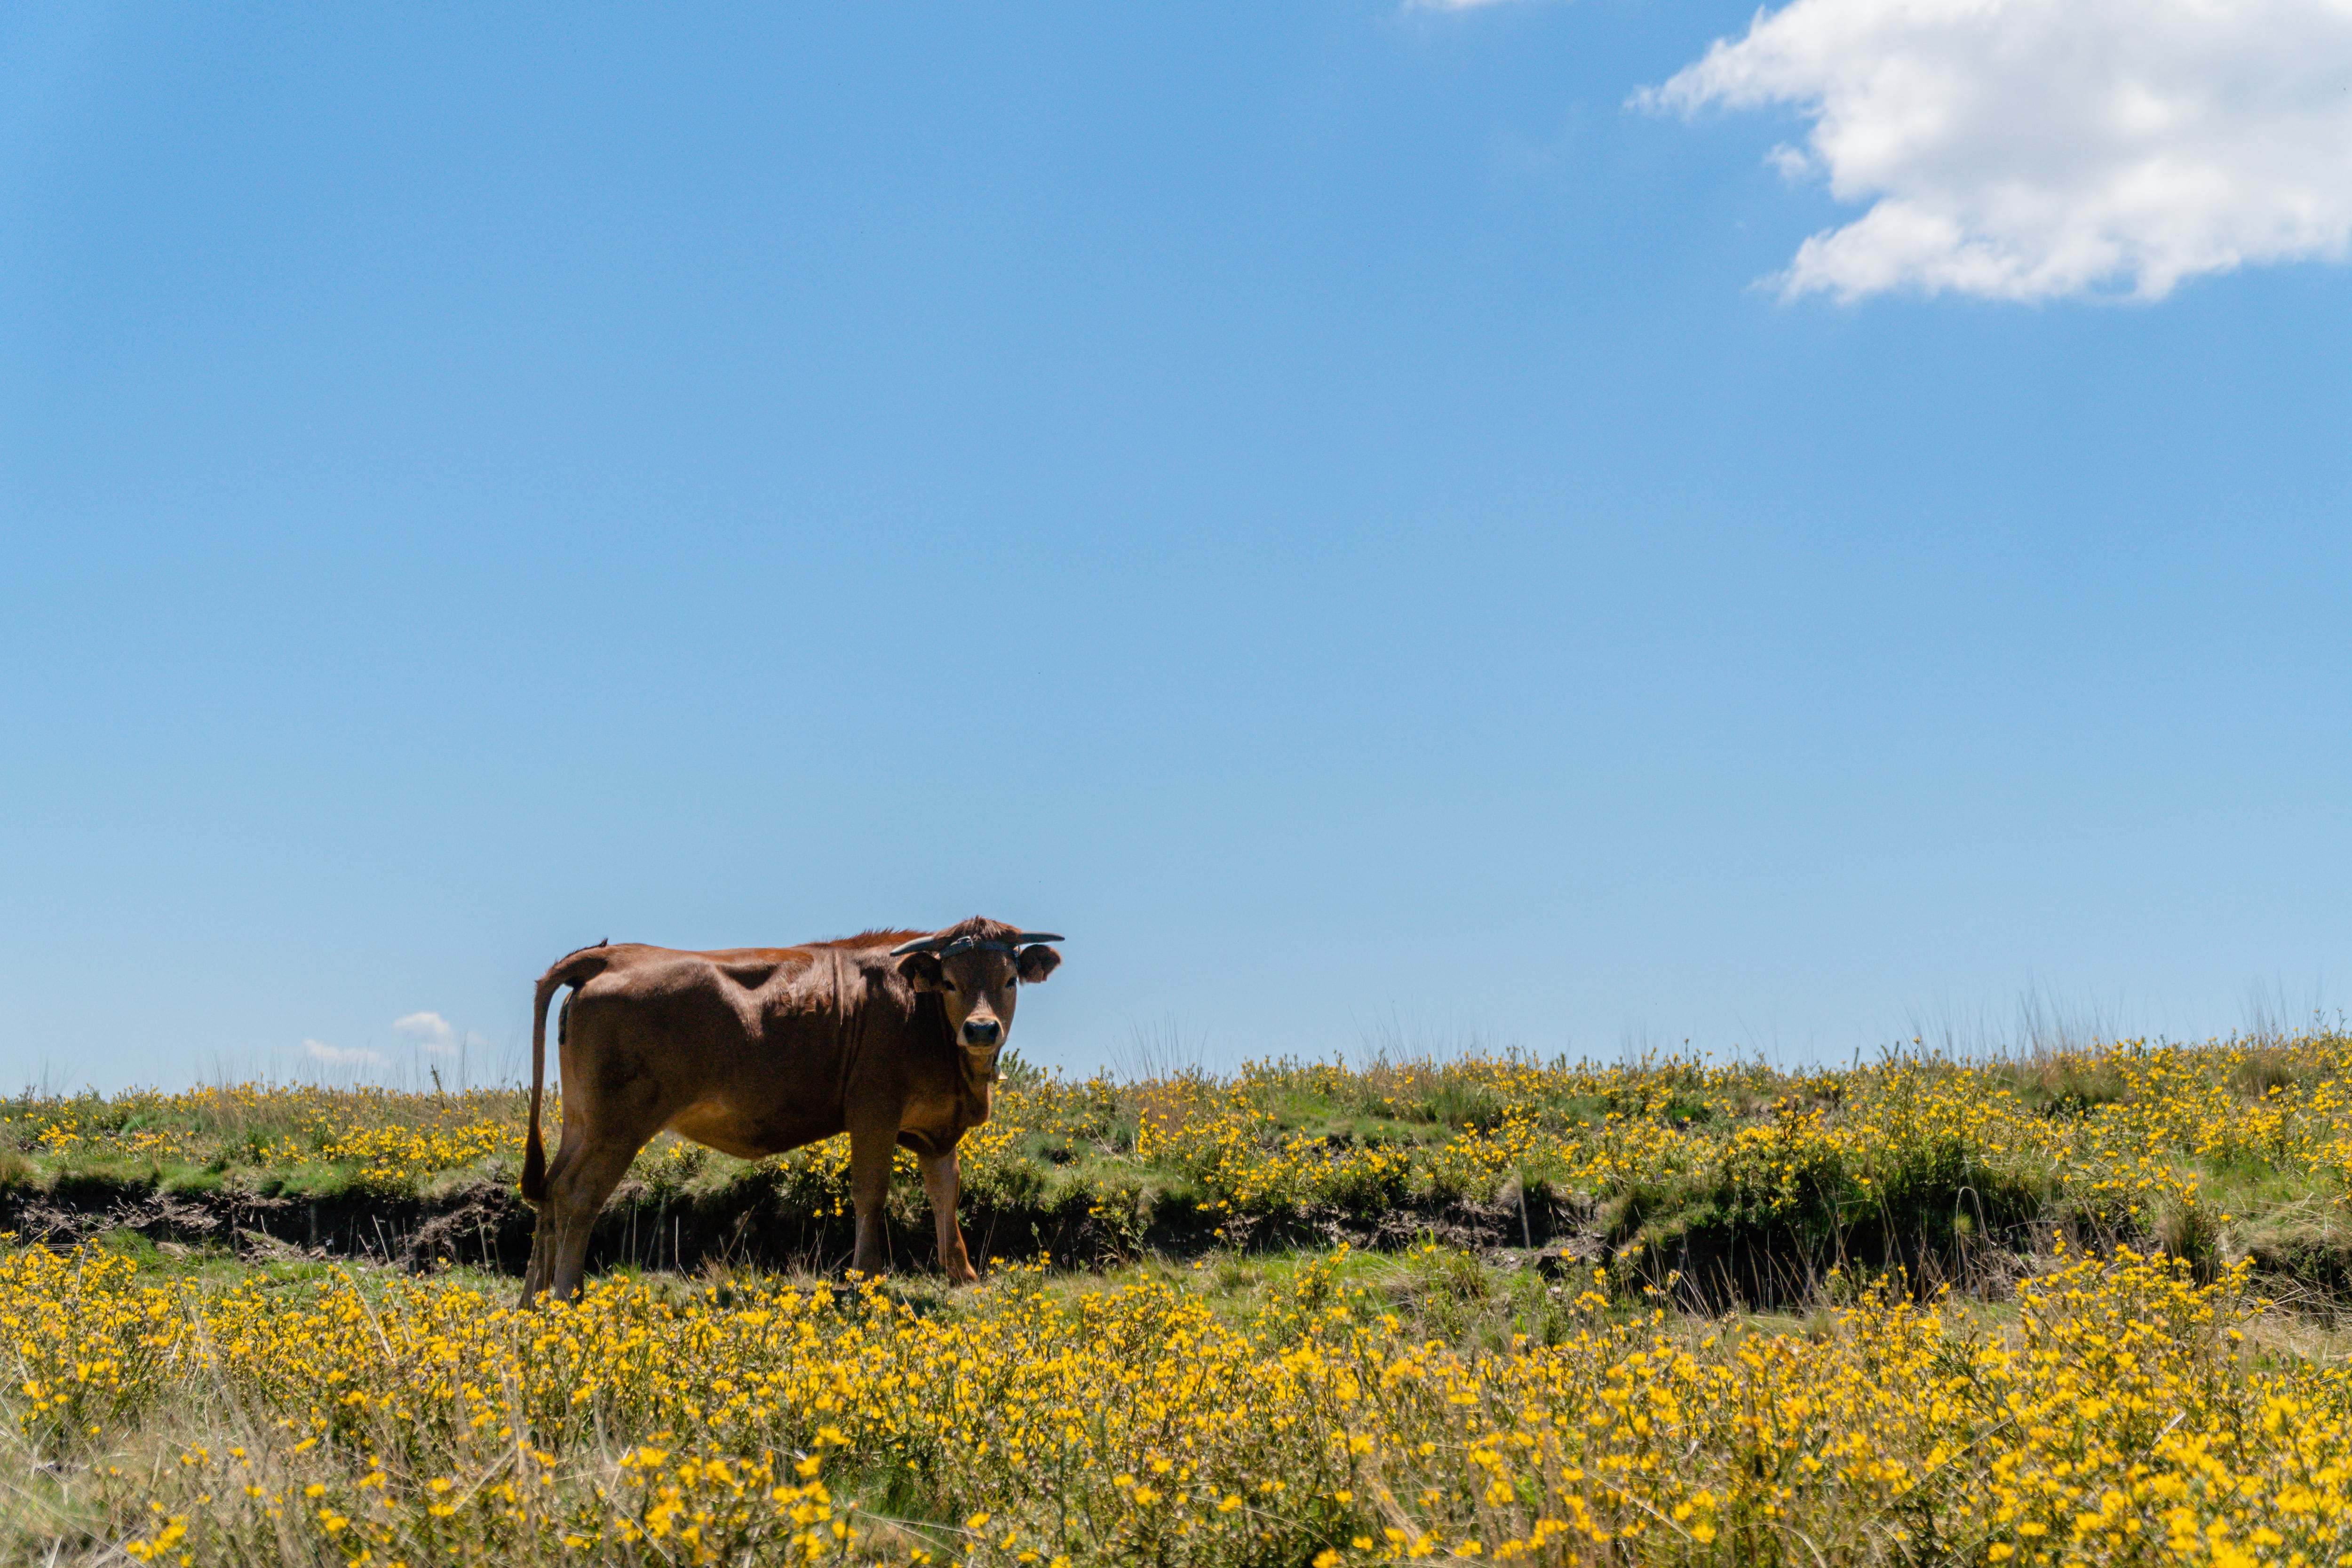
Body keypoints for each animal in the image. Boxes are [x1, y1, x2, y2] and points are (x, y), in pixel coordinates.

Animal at [516, 916, 1063, 1304]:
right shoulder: (874, 1110)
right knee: (578, 1195)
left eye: (1009, 979)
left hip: (580, 1121)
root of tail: (611, 955)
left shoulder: (936, 1128)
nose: (981, 1029)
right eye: (949, 981)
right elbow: (871, 1193)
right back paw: (566, 1296)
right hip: (618, 1125)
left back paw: (534, 1301)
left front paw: (963, 1274)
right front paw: (868, 1276)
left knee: (550, 1194)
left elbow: (946, 1192)